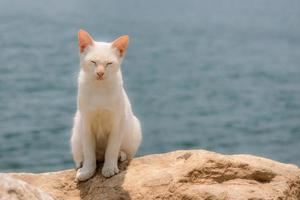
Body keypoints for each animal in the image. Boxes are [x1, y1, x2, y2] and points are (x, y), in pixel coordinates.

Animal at [70, 29, 142, 181]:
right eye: (93, 62)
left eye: (109, 63)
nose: (100, 73)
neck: (99, 89)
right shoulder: (86, 121)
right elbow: (89, 151)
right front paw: (87, 171)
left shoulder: (118, 121)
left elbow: (112, 148)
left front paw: (109, 168)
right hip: (76, 133)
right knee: (89, 155)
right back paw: (82, 163)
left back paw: (121, 155)